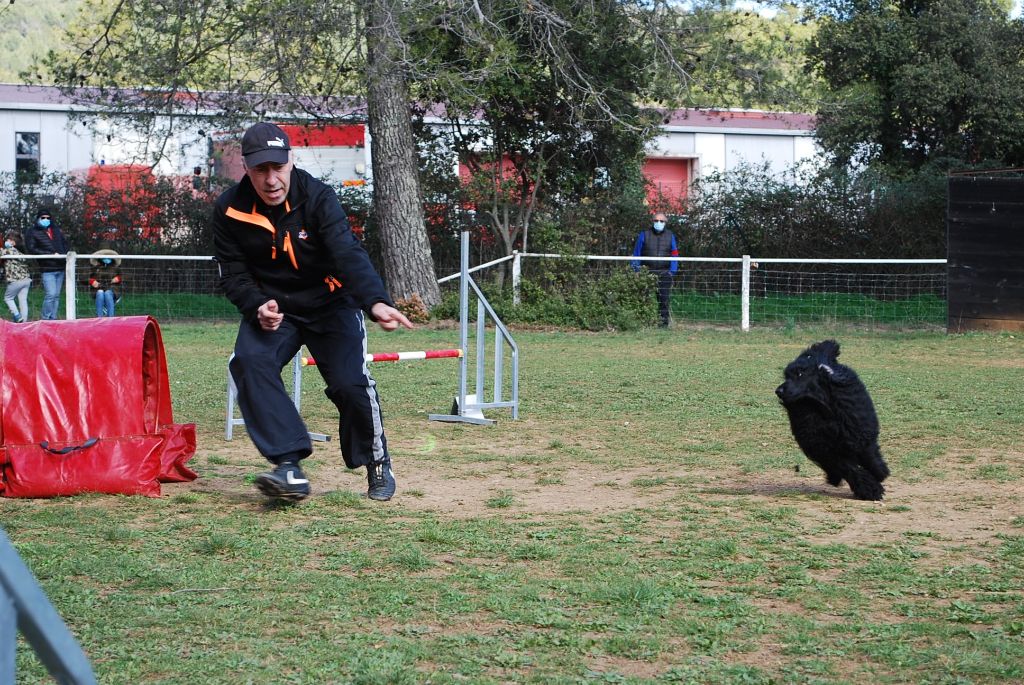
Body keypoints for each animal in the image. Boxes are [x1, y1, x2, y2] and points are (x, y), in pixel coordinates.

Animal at [774, 339, 888, 499]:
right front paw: (871, 489)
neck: (824, 407)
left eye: (800, 374)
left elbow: (870, 455)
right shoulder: (827, 449)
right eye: (786, 376)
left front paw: (880, 474)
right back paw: (835, 478)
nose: (778, 391)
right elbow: (850, 468)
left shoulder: (860, 435)